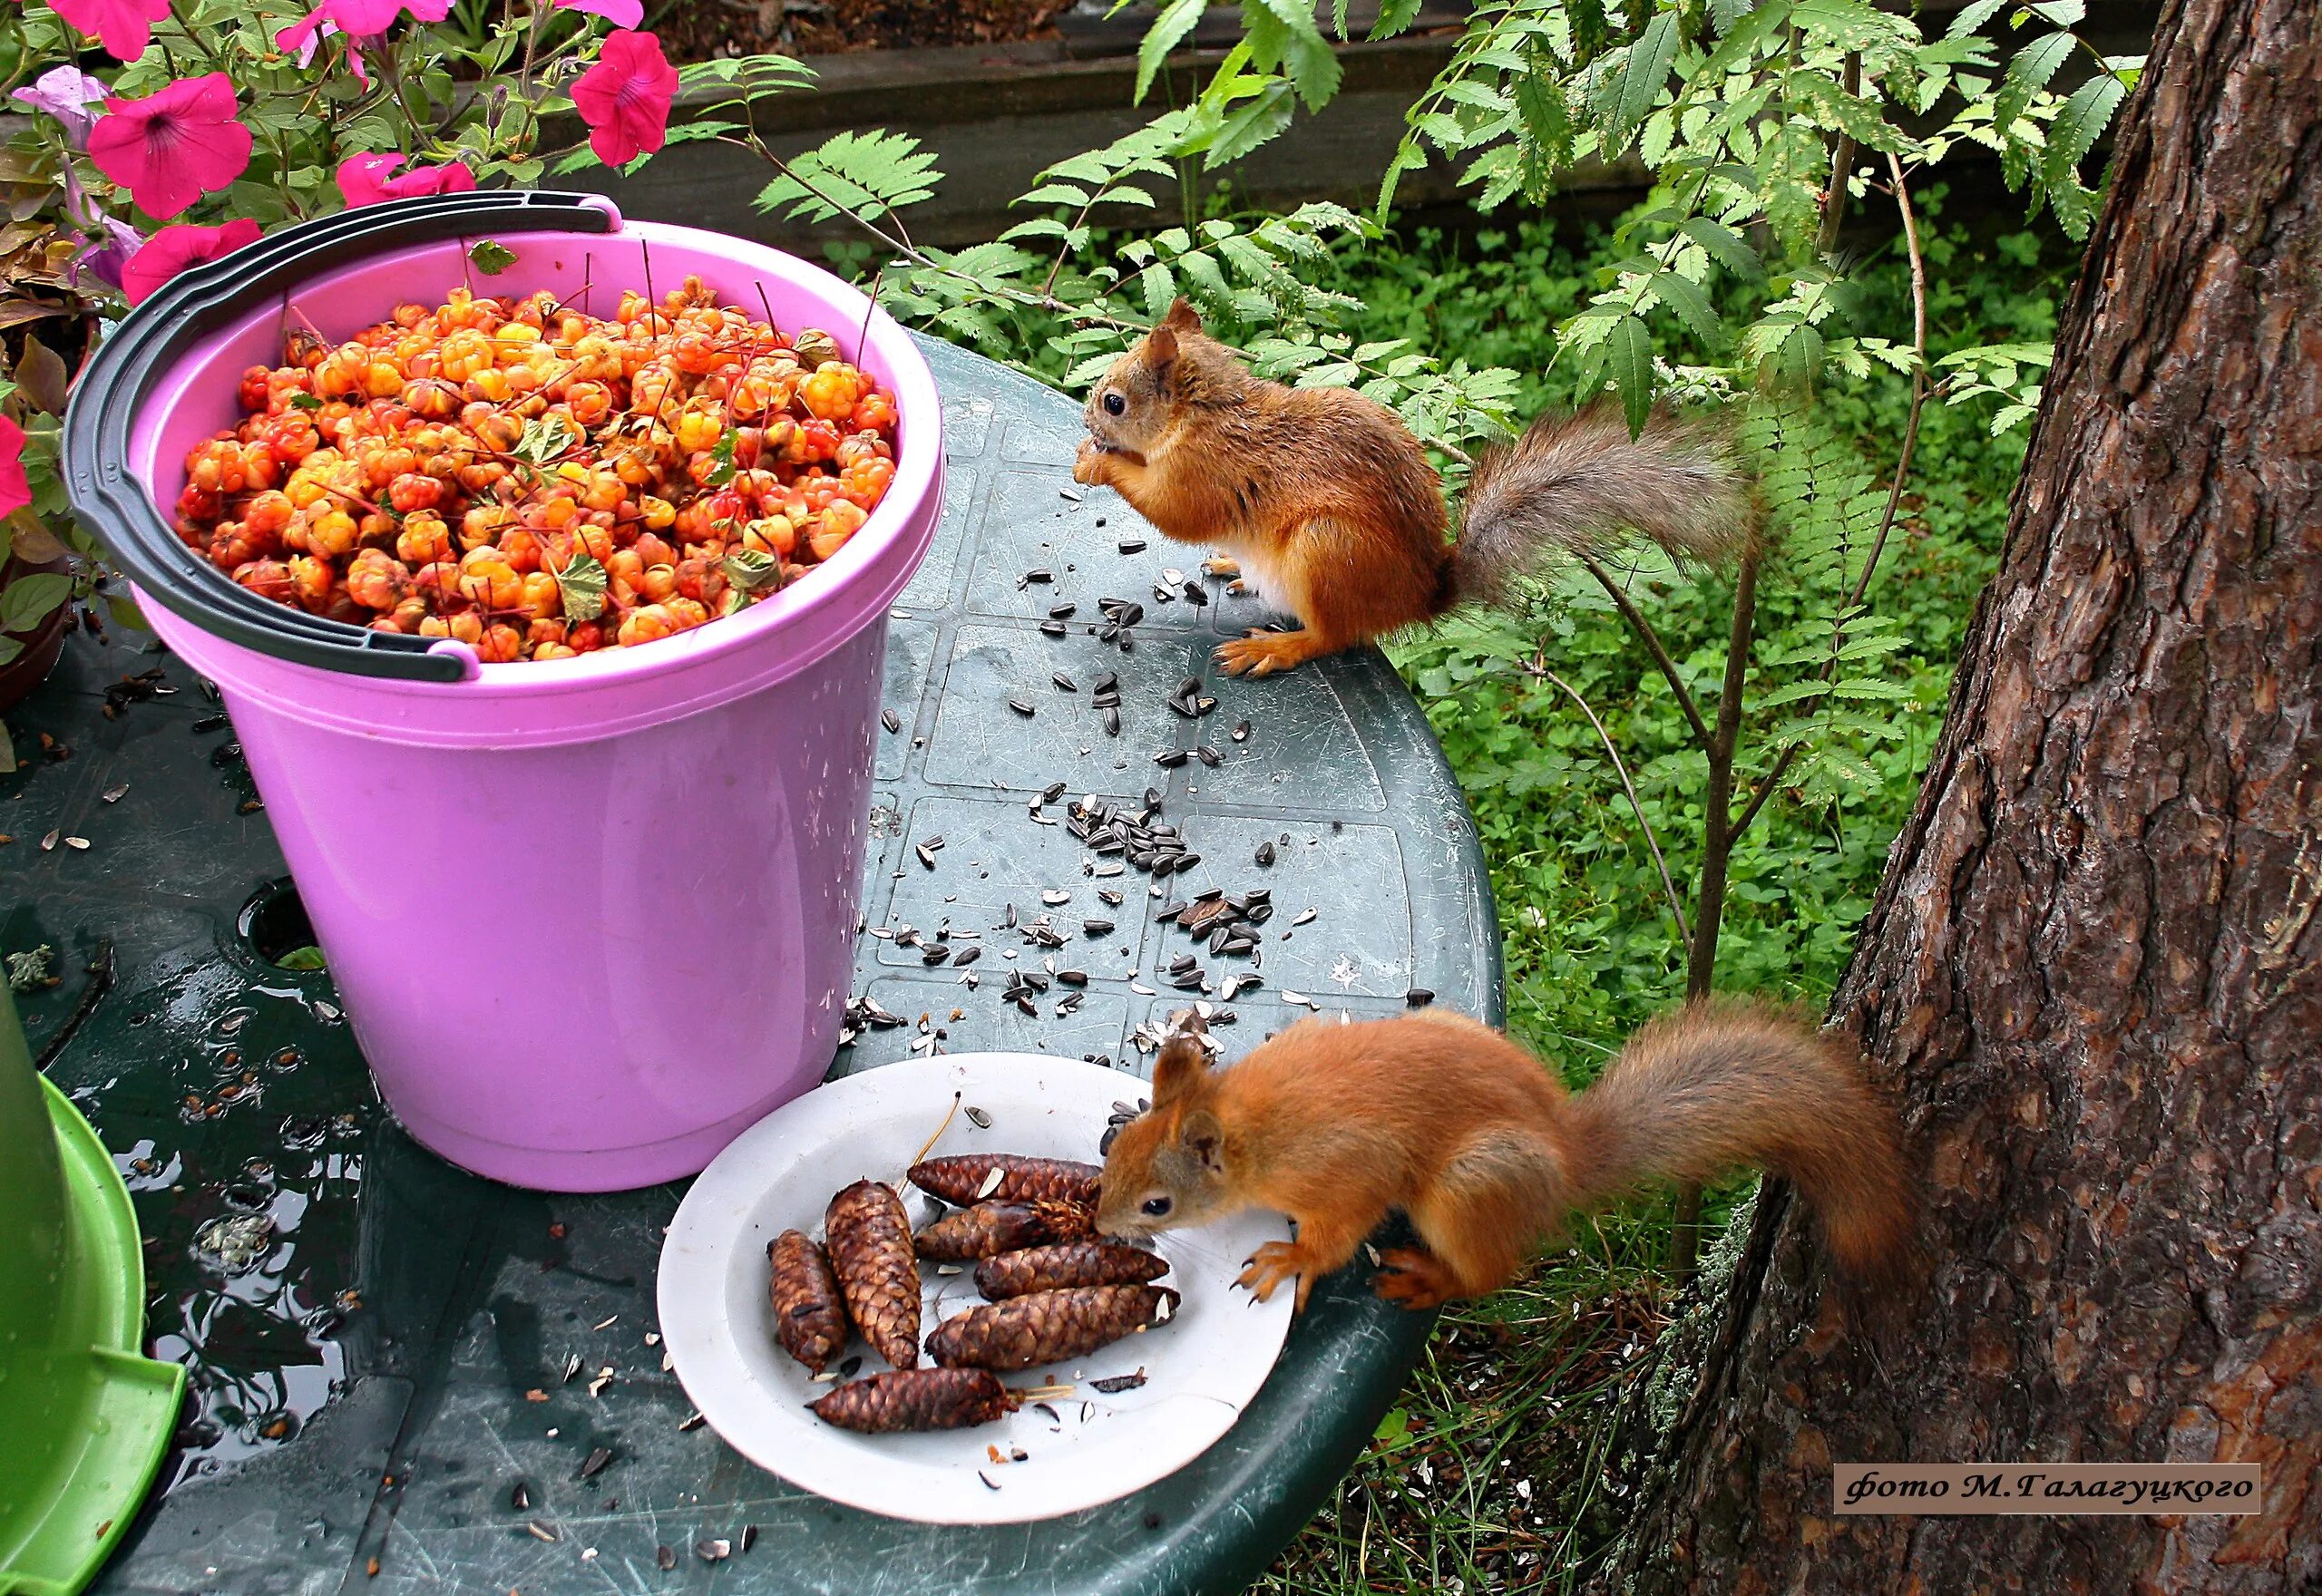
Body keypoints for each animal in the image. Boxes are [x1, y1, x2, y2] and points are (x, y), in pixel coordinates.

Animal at [1077, 299, 1746, 672]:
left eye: (1114, 402)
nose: (1087, 422)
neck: (1206, 412)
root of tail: (1419, 596)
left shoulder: (1205, 471)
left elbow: (1174, 510)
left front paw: (1096, 464)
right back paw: (1234, 566)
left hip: (1328, 550)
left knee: (1333, 636)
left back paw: (1277, 648)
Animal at [1096, 1011, 1913, 1308]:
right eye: (1115, 1154)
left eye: (1158, 1204)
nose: (1102, 1227)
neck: (1249, 1123)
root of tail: (1569, 1158)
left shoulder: (1346, 1170)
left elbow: (1337, 1233)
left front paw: (1289, 1261)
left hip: (1470, 1187)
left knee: (1489, 1275)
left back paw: (1430, 1279)